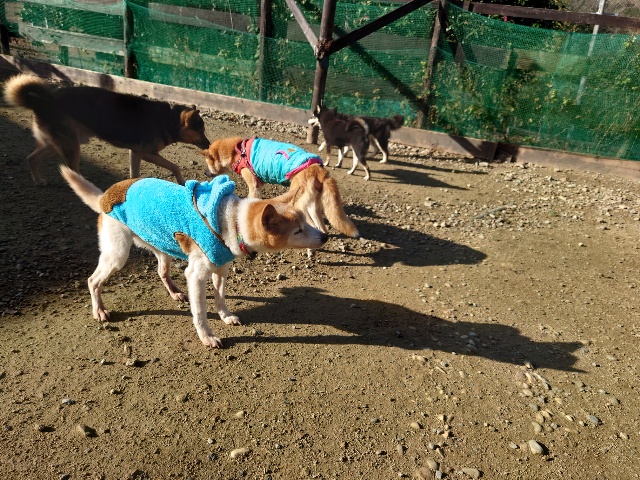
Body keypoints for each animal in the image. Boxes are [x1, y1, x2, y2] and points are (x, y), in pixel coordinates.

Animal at [3, 74, 210, 186]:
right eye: (200, 131)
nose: (208, 144)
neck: (168, 120)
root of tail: (42, 101)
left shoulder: (135, 152)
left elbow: (135, 174)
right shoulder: (146, 153)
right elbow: (174, 166)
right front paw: (181, 181)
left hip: (58, 143)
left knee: (31, 158)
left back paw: (38, 179)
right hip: (71, 146)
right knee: (72, 170)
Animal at [60, 165, 328, 348]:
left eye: (305, 222)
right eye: (297, 231)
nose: (325, 237)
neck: (233, 221)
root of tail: (105, 196)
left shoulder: (221, 268)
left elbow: (220, 297)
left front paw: (226, 316)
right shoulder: (196, 275)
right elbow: (200, 312)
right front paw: (207, 336)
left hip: (162, 244)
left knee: (161, 270)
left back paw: (175, 293)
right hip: (117, 254)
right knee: (93, 281)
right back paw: (100, 311)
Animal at [201, 136, 359, 239]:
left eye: (207, 163)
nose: (205, 173)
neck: (237, 151)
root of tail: (320, 170)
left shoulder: (253, 186)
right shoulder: (259, 185)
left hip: (300, 203)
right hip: (313, 205)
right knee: (323, 229)